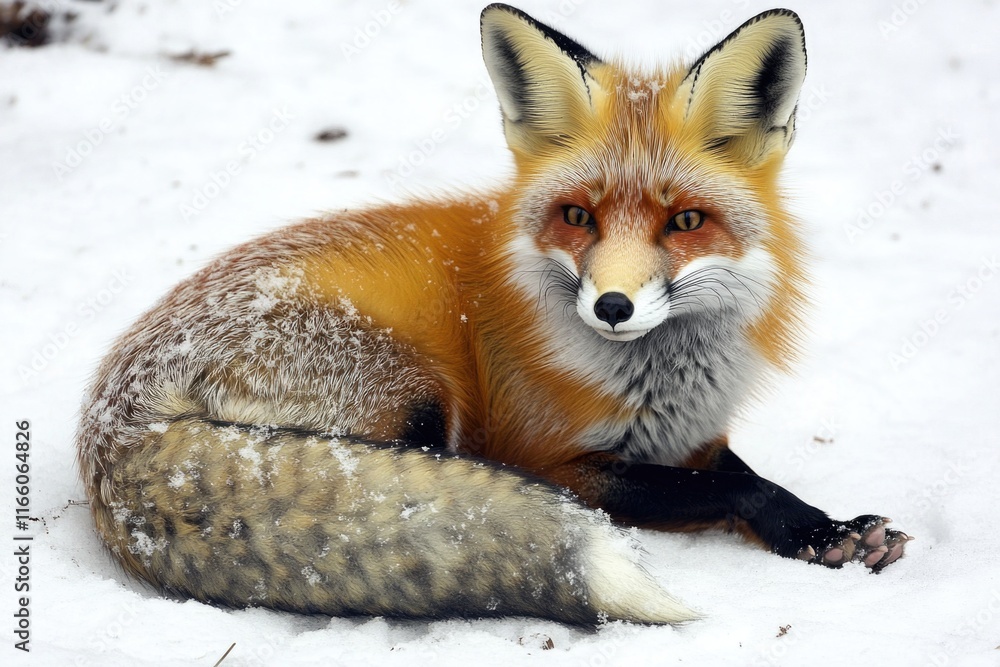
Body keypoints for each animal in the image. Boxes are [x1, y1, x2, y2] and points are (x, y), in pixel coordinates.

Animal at [77, 5, 911, 625]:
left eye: (685, 222)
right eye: (577, 216)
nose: (613, 305)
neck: (658, 381)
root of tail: (111, 414)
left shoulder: (695, 436)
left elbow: (745, 476)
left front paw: (824, 529)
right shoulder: (559, 461)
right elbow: (724, 490)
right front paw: (806, 526)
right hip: (413, 395)